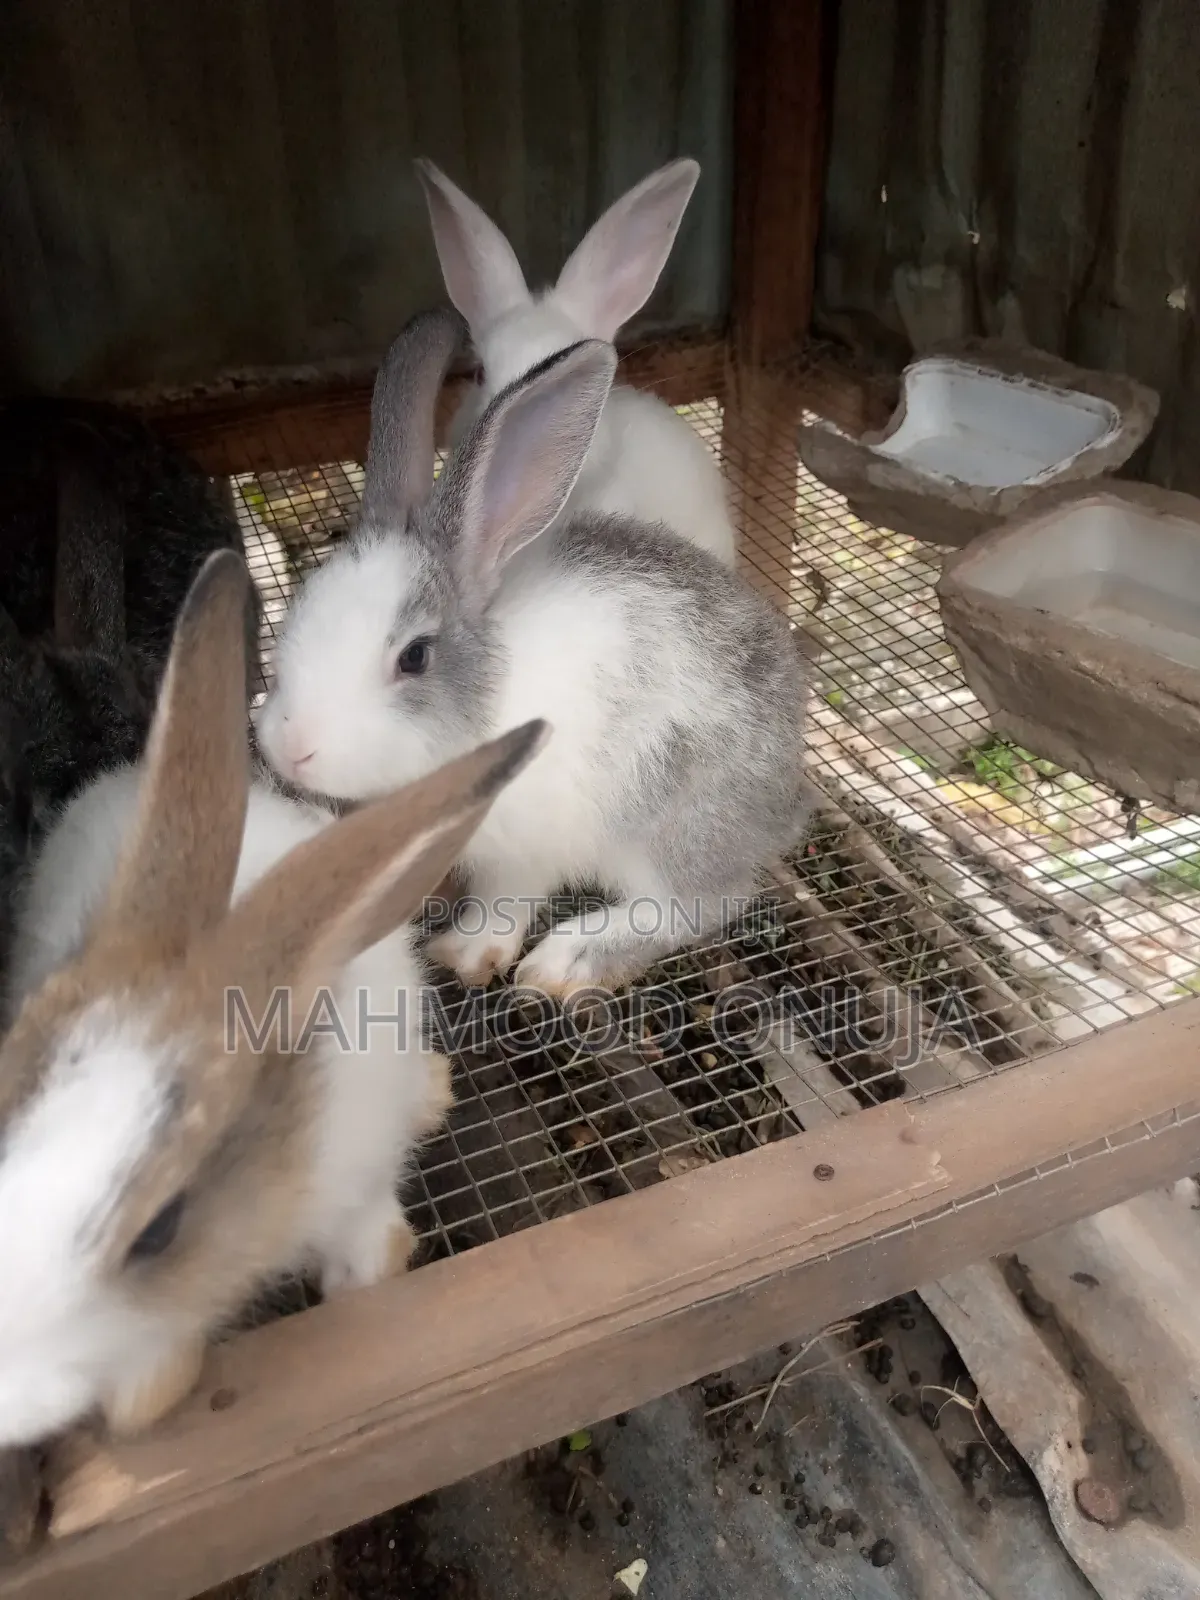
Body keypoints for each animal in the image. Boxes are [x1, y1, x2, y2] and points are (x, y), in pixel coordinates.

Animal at [255, 308, 809, 999]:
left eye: (414, 657)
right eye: (296, 611)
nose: (290, 748)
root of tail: (786, 795)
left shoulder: (529, 845)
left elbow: (511, 897)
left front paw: (471, 956)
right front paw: (460, 952)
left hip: (672, 824)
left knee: (694, 904)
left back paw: (570, 960)